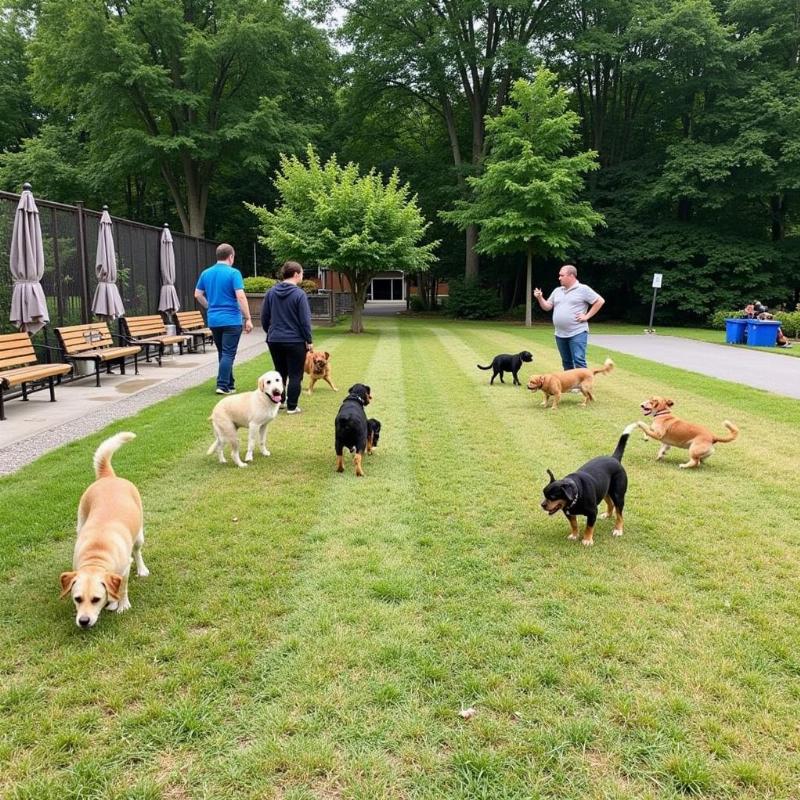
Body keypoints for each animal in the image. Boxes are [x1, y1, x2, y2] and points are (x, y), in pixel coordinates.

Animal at [60, 434, 148, 628]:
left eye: (96, 599)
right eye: (77, 599)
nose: (83, 621)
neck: (97, 554)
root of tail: (108, 477)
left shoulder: (124, 569)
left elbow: (121, 589)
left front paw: (122, 605)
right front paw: (113, 603)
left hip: (139, 536)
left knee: (137, 552)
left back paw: (142, 569)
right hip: (80, 520)